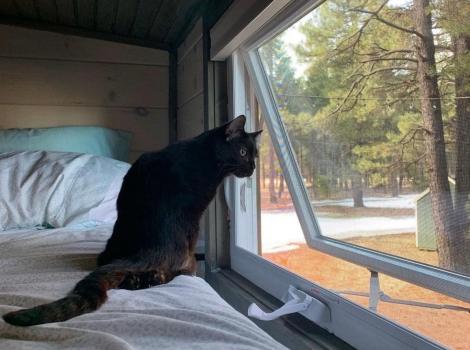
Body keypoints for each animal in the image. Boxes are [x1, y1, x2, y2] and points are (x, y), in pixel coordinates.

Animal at [2, 115, 260, 326]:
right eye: (244, 153)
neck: (204, 153)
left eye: (255, 155)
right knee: (178, 268)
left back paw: (139, 280)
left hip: (114, 244)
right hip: (185, 240)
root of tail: (149, 246)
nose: (253, 168)